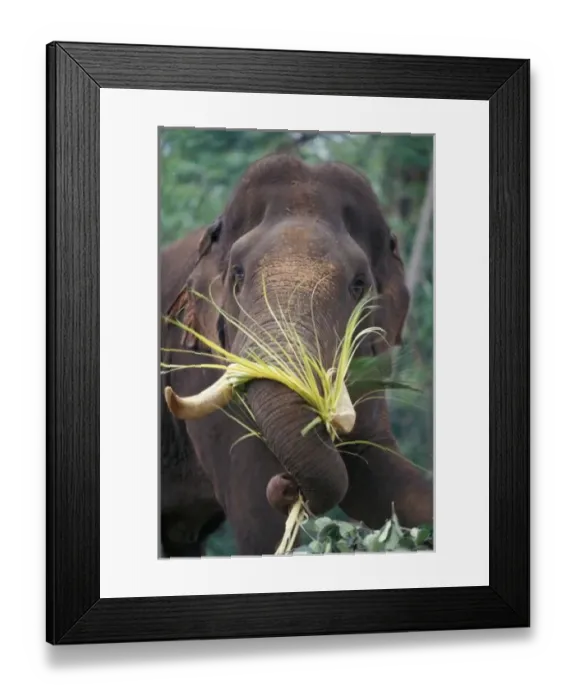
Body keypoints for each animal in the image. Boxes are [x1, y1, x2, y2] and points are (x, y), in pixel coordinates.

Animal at [159, 153, 433, 557]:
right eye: (238, 275)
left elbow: (379, 478)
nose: (288, 484)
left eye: (358, 284)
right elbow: (258, 521)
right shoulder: (195, 363)